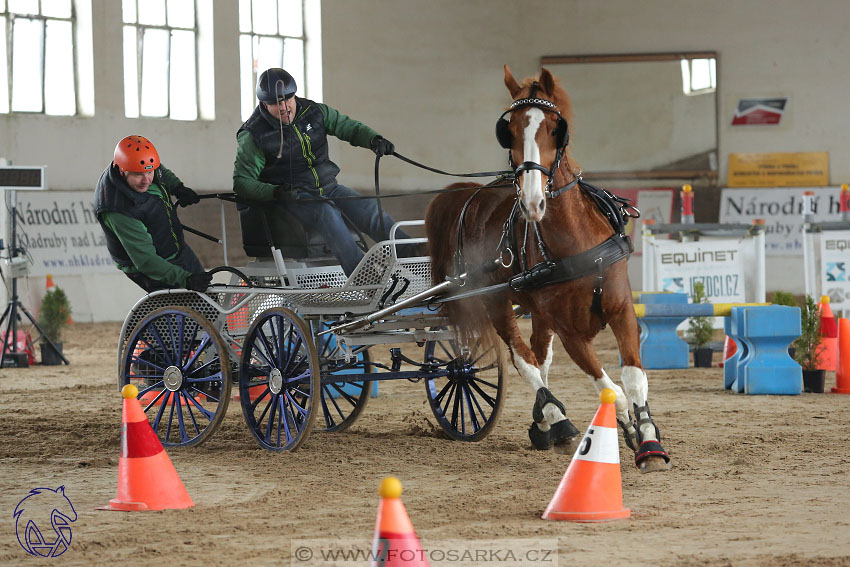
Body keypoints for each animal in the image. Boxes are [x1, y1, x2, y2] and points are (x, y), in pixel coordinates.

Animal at [424, 66, 668, 472]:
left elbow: (633, 378)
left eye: (555, 127)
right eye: (509, 129)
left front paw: (648, 440)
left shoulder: (622, 311)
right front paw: (626, 430)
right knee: (522, 357)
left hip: (537, 310)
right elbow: (610, 389)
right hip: (497, 302)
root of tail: (471, 195)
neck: (578, 243)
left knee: (539, 356)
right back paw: (556, 418)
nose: (533, 201)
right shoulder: (571, 332)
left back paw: (545, 423)